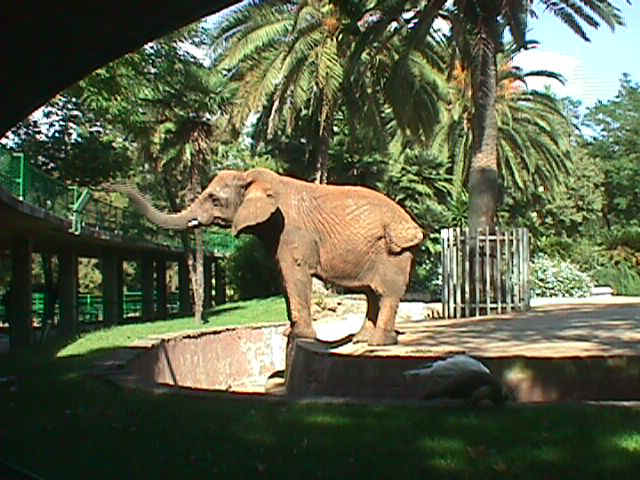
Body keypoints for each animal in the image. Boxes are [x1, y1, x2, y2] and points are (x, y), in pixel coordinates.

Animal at [107, 168, 424, 346]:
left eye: (214, 199)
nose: (112, 186)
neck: (254, 179)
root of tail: (413, 224)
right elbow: (283, 276)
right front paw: (289, 335)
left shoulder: (293, 231)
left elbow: (294, 273)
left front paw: (300, 338)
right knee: (372, 293)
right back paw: (362, 340)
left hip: (394, 252)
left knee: (386, 293)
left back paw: (380, 343)